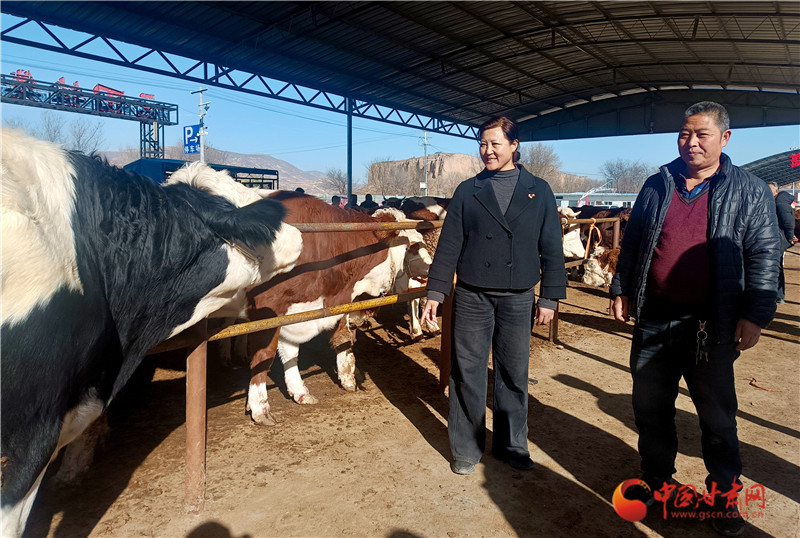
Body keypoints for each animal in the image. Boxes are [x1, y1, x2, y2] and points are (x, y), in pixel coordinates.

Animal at [245, 192, 432, 425]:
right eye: (413, 246)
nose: (431, 267)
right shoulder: (268, 307)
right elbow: (264, 355)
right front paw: (260, 408)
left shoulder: (295, 311)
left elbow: (292, 350)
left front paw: (301, 391)